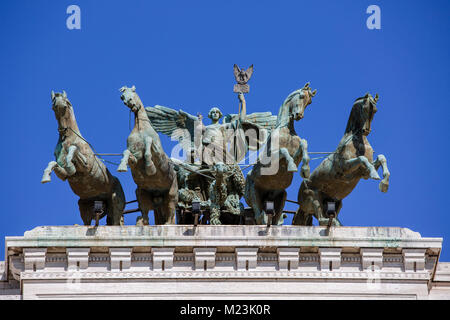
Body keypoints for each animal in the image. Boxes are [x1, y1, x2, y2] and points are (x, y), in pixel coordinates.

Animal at [246, 84, 316, 226]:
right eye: (301, 96)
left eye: (309, 102)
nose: (298, 115)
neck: (286, 130)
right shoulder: (271, 160)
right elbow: (283, 151)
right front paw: (292, 166)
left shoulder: (297, 155)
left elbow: (304, 144)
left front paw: (305, 169)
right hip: (254, 194)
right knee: (259, 217)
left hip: (281, 197)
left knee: (273, 219)